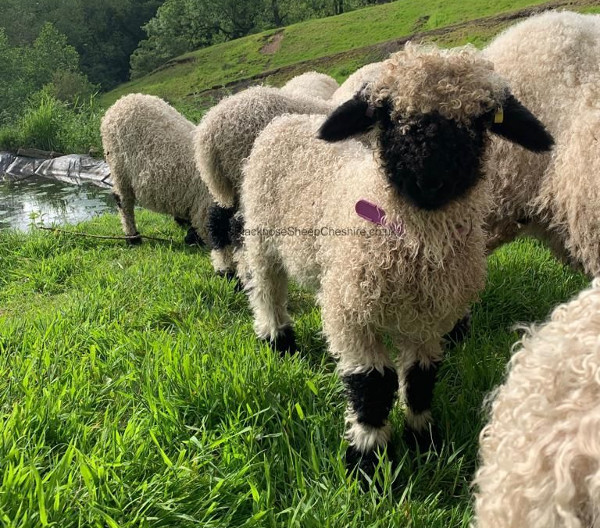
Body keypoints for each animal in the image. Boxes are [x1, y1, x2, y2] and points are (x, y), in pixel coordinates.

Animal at [238, 43, 552, 476]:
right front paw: (368, 457)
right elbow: (371, 384)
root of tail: (286, 120)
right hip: (262, 236)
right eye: (387, 115)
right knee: (266, 289)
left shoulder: (430, 317)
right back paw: (277, 338)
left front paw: (424, 438)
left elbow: (420, 378)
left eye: (481, 120)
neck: (413, 247)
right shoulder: (351, 313)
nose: (430, 181)